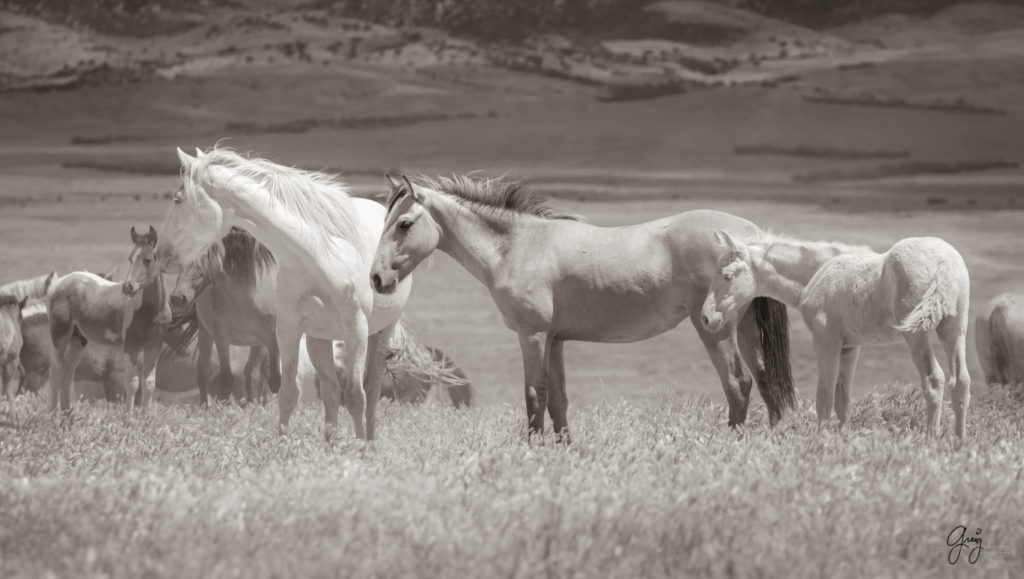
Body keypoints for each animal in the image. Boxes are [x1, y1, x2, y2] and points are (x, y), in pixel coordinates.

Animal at [47, 225, 172, 409]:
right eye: (130, 259)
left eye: (147, 260)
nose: (128, 287)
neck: (151, 311)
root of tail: (57, 285)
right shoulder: (130, 344)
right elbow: (132, 383)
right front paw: (129, 416)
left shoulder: (154, 344)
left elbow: (149, 383)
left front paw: (147, 416)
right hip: (60, 335)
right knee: (56, 372)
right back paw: (53, 413)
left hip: (78, 340)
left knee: (68, 375)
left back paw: (67, 414)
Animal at [159, 147, 415, 442]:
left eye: (178, 199)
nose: (160, 253)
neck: (316, 257)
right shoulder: (288, 330)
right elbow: (288, 393)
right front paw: (283, 447)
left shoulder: (356, 331)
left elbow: (355, 397)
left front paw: (359, 449)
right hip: (318, 339)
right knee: (329, 390)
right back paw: (330, 445)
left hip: (381, 333)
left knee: (370, 390)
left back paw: (369, 444)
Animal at [372, 174, 794, 440]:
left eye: (405, 223)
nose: (376, 279)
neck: (518, 247)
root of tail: (749, 235)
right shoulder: (556, 339)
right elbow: (558, 401)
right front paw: (564, 451)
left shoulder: (533, 336)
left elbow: (533, 396)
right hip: (746, 327)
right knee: (766, 380)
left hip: (715, 328)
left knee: (738, 384)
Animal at [700, 230, 970, 438]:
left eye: (727, 276)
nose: (706, 318)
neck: (819, 272)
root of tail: (944, 264)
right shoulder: (849, 346)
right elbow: (842, 398)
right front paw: (841, 439)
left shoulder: (825, 340)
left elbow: (825, 396)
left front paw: (822, 441)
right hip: (954, 331)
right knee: (961, 380)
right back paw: (959, 441)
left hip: (917, 334)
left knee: (934, 379)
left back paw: (931, 439)